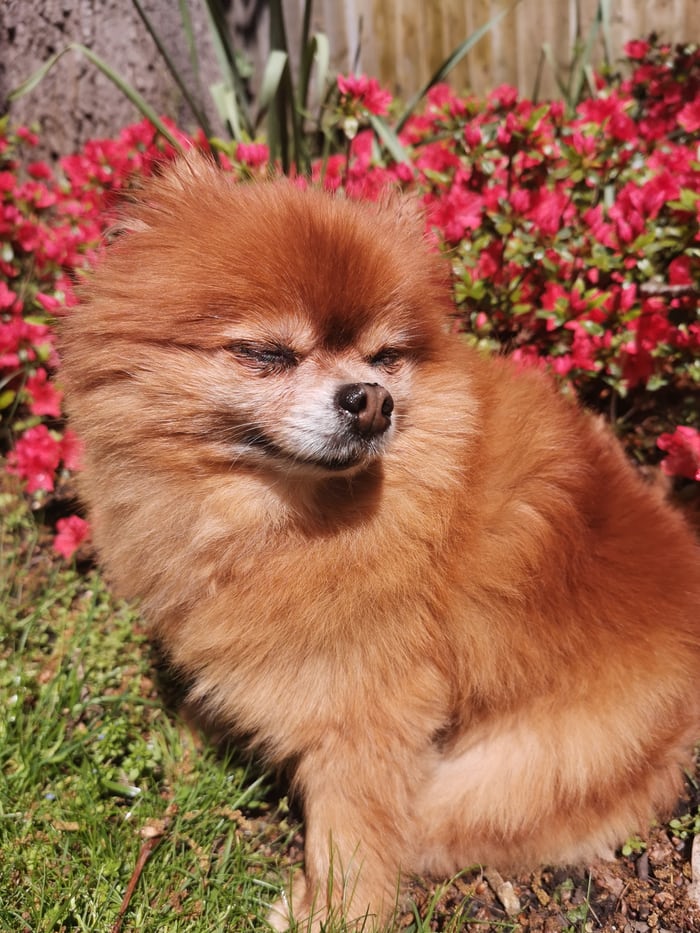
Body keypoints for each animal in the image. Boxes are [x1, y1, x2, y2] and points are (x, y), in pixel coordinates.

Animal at [58, 157, 700, 928]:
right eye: (266, 354)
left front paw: (335, 911)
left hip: (517, 769)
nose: (370, 399)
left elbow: (351, 827)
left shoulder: (366, 704)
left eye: (386, 357)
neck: (279, 519)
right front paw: (187, 740)